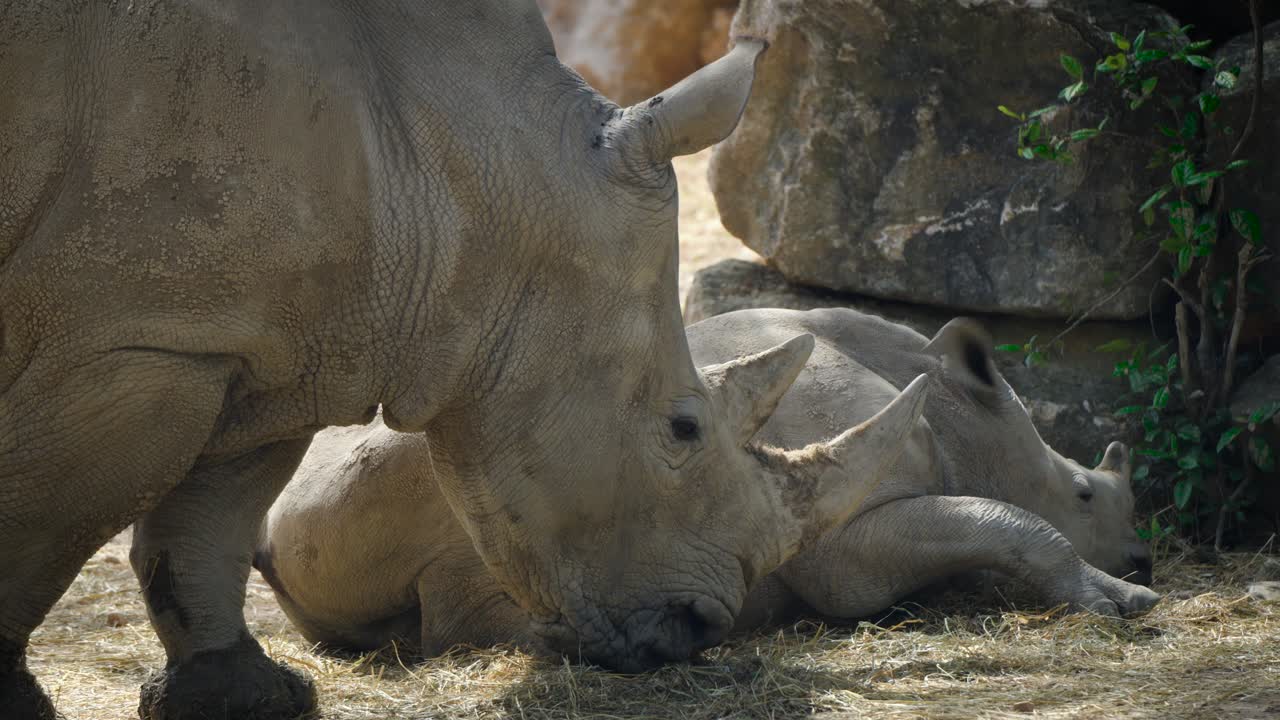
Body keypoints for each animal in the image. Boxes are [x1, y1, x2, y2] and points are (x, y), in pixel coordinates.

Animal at [0, 4, 925, 719]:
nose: (697, 628)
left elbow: (209, 514)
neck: (465, 165)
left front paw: (243, 697)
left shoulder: (256, 335)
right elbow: (46, 526)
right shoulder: (137, 337)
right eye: (684, 428)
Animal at [257, 307, 1160, 659]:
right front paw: (1125, 601)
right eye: (1084, 494)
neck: (951, 404)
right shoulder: (841, 544)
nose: (1146, 557)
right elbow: (998, 518)